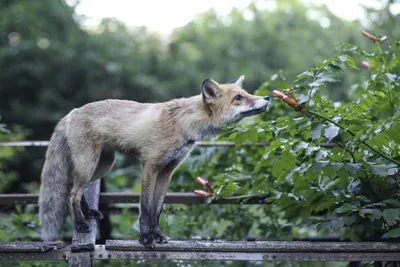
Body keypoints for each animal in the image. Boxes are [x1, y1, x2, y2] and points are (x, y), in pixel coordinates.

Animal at [39, 74, 270, 248]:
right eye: (239, 97)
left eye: (247, 94)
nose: (268, 97)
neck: (182, 125)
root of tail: (71, 112)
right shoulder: (149, 166)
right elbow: (145, 208)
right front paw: (145, 238)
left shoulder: (167, 171)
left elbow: (157, 210)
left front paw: (157, 235)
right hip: (89, 164)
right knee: (72, 194)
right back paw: (80, 224)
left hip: (102, 165)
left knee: (73, 187)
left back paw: (88, 212)